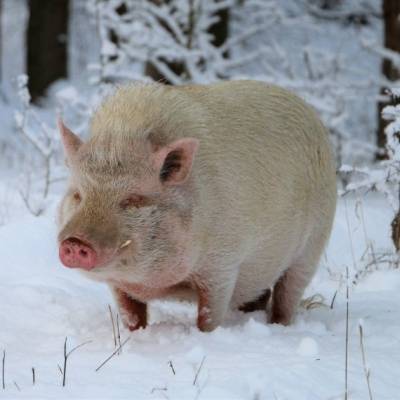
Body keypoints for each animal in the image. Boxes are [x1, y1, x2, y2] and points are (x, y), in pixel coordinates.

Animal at [57, 80, 338, 332]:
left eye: (133, 200)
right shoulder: (118, 285)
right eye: (78, 195)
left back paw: (278, 326)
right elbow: (131, 316)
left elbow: (209, 316)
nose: (75, 241)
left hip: (312, 247)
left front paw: (206, 335)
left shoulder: (223, 266)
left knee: (287, 296)